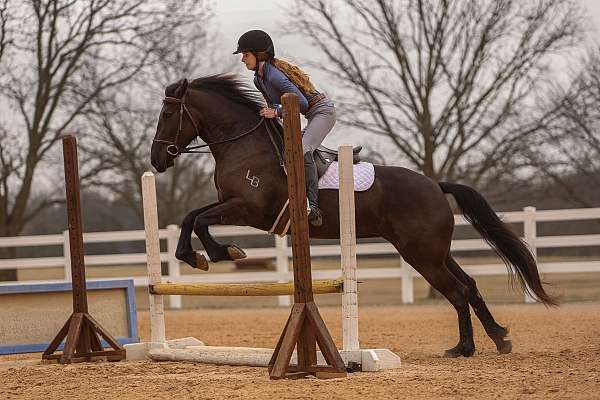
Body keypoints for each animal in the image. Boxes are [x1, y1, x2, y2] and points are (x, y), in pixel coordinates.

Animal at [151, 75, 556, 356]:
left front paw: (215, 254)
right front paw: (196, 255)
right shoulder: (232, 205)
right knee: (468, 285)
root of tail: (435, 184)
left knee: (457, 292)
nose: (156, 161)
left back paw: (467, 348)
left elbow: (199, 220)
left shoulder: (249, 209)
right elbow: (191, 216)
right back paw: (494, 339)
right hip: (435, 252)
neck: (244, 145)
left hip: (422, 254)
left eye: (168, 113)